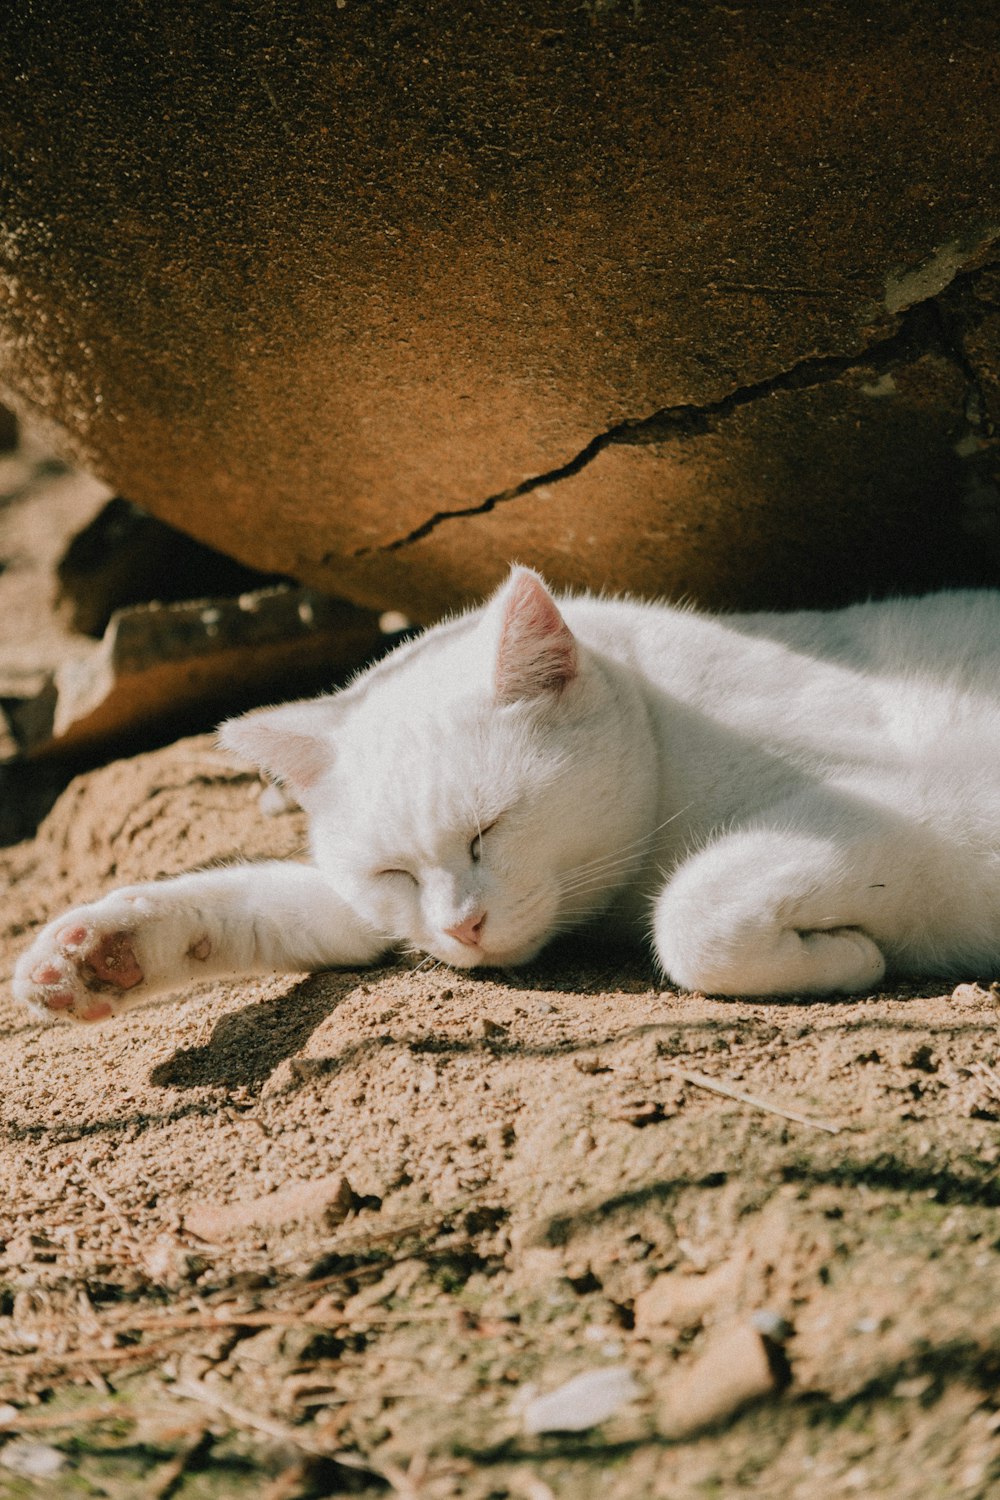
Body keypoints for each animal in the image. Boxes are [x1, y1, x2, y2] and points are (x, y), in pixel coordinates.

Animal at [11, 564, 1000, 1020]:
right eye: (395, 875)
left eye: (490, 830)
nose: (463, 928)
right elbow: (266, 902)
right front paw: (98, 952)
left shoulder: (938, 797)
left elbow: (691, 913)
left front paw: (851, 958)